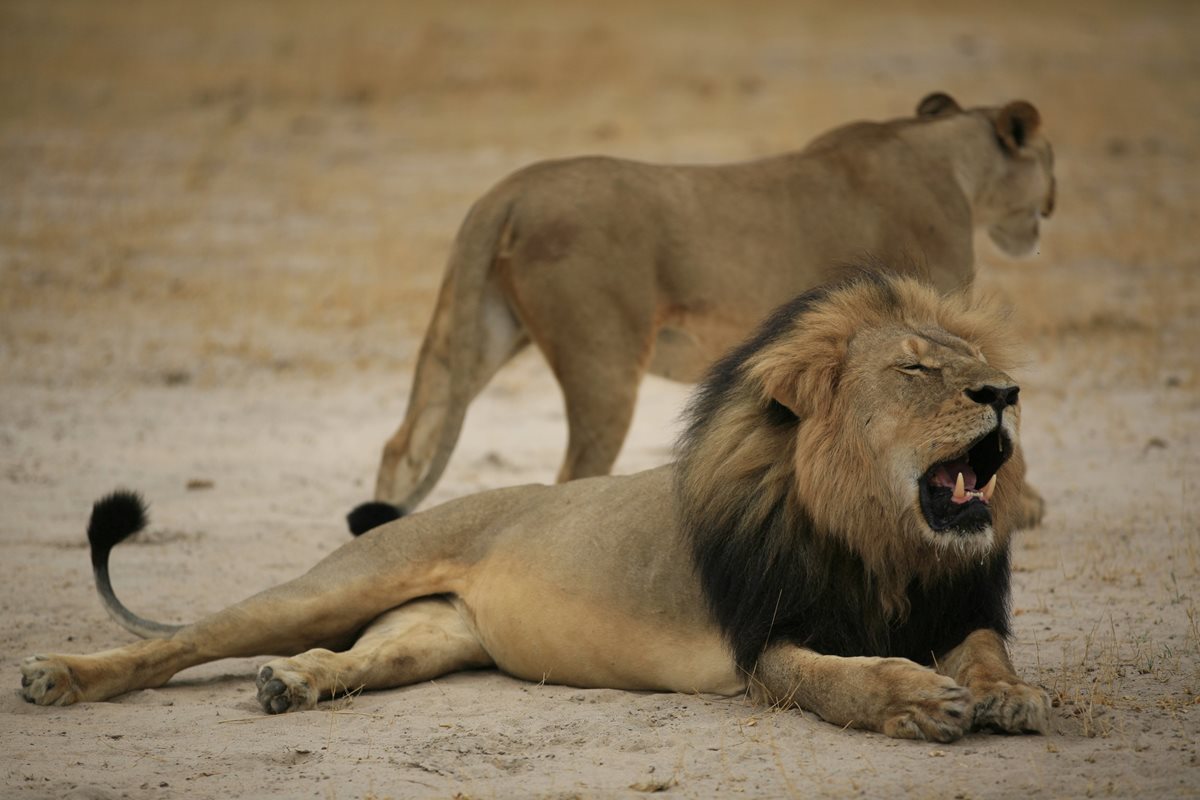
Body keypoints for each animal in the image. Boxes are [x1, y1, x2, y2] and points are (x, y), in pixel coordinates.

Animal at [21, 277, 1051, 743]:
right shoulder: (765, 642)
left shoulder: (954, 606)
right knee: (184, 641)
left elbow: (987, 651)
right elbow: (840, 679)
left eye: (973, 361)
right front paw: (918, 700)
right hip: (337, 582)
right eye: (916, 369)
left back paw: (294, 684)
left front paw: (1009, 695)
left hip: (430, 636)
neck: (883, 543)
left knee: (351, 657)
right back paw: (60, 677)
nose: (1007, 393)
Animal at [360, 92, 1056, 525]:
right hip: (603, 360)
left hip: (477, 331)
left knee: (404, 443)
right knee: (572, 474)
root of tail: (508, 189)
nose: (1052, 203)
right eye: (1048, 157)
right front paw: (1021, 505)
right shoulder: (931, 315)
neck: (952, 160)